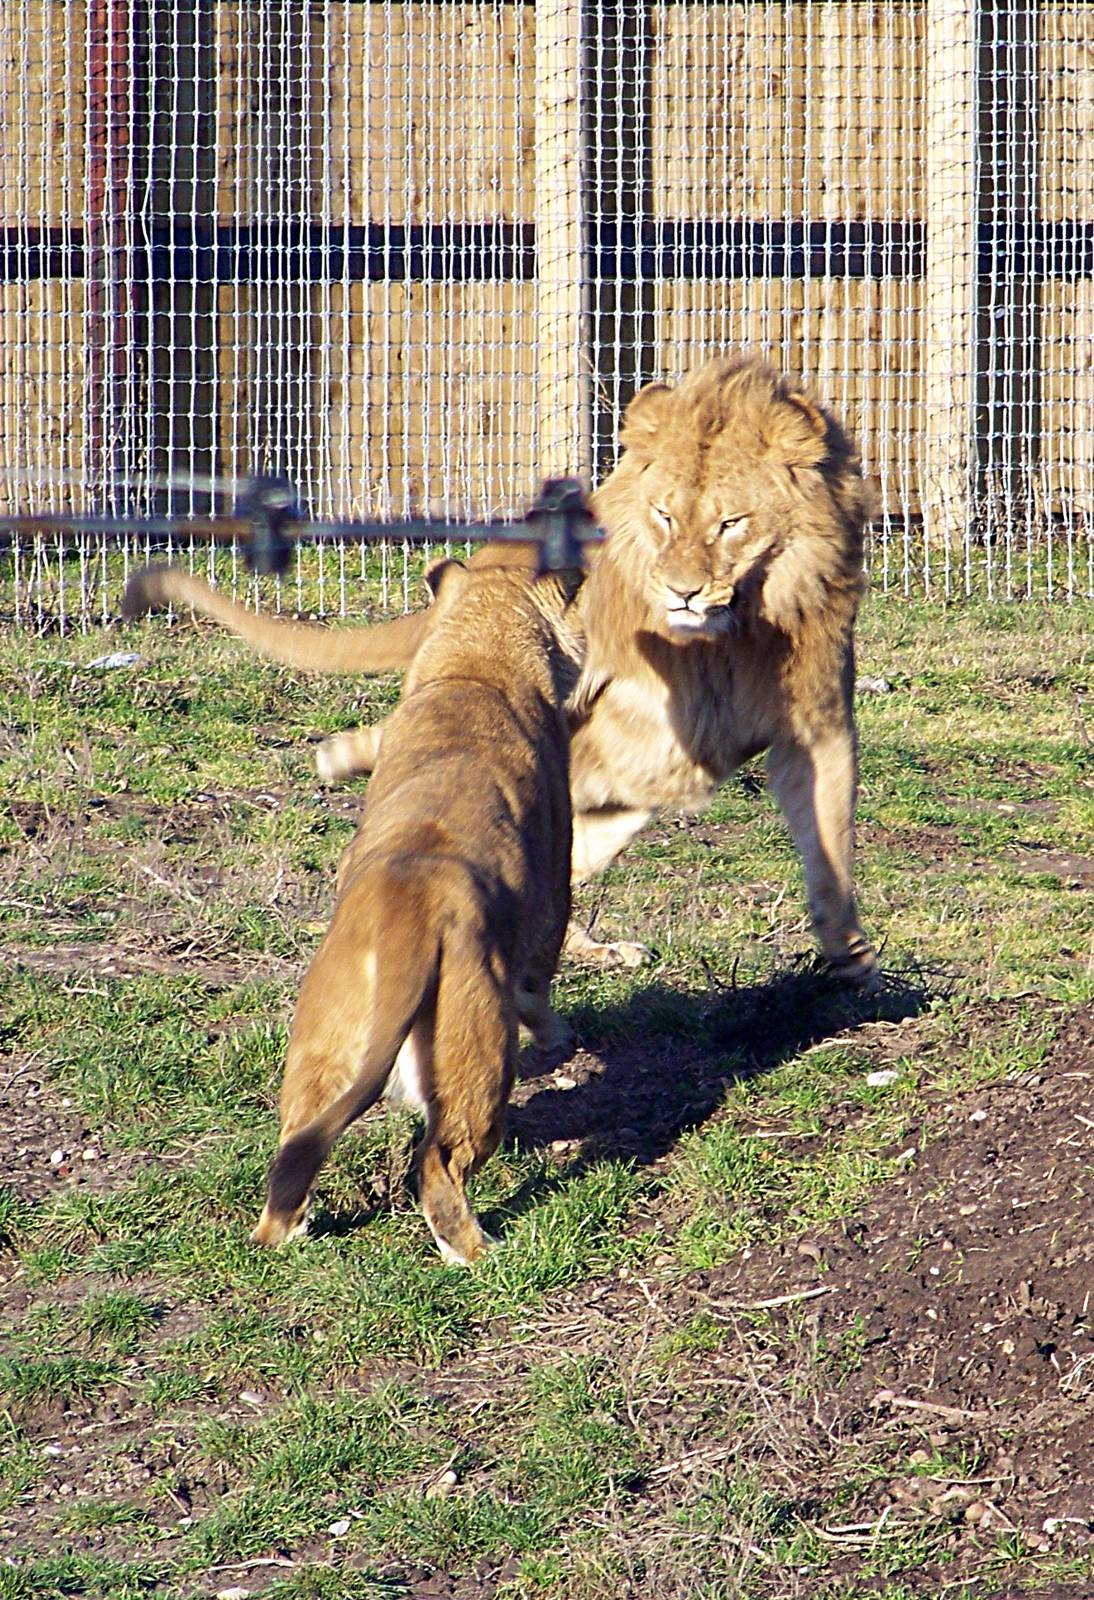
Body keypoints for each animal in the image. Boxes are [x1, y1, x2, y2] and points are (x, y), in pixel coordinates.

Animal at [125, 354, 875, 984]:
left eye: (731, 523)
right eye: (665, 516)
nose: (682, 592)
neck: (739, 626)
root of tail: (483, 561)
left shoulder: (817, 723)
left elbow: (831, 840)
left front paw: (851, 958)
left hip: (629, 788)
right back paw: (346, 761)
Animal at [249, 543, 579, 1264]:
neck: (474, 665)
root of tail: (408, 907)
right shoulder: (556, 883)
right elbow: (540, 981)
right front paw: (558, 1034)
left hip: (322, 1047)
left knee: (296, 1144)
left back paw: (285, 1230)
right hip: (479, 1055)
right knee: (439, 1162)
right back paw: (481, 1253)